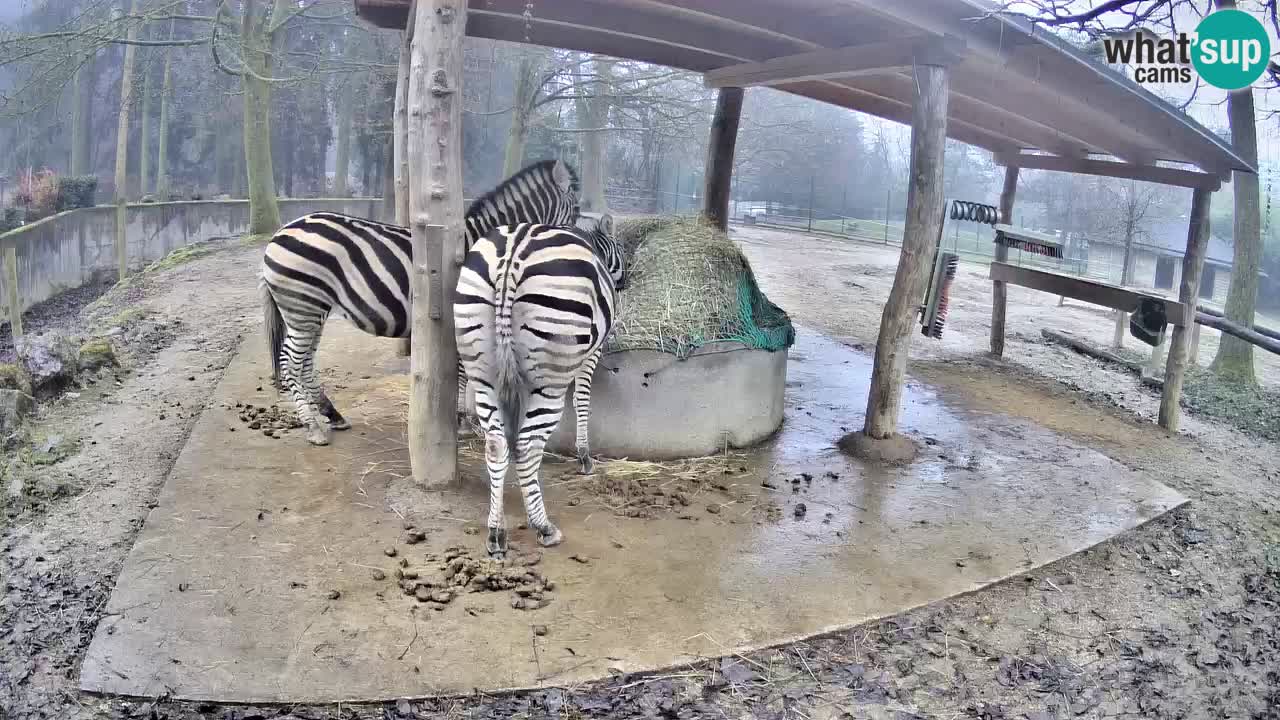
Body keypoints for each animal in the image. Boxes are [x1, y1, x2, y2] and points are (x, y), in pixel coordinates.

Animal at [260, 159, 581, 447]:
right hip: (303, 306)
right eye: (577, 210)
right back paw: (313, 428)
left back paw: (332, 414)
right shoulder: (468, 315)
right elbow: (465, 373)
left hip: (312, 310)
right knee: (291, 363)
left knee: (305, 362)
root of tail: (279, 233)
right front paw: (463, 422)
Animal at [453, 214, 625, 558]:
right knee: (529, 442)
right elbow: (582, 399)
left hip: (483, 369)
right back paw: (543, 526)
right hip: (549, 379)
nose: (625, 283)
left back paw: (496, 531)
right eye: (620, 249)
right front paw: (584, 456)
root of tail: (510, 258)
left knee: (496, 444)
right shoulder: (591, 354)